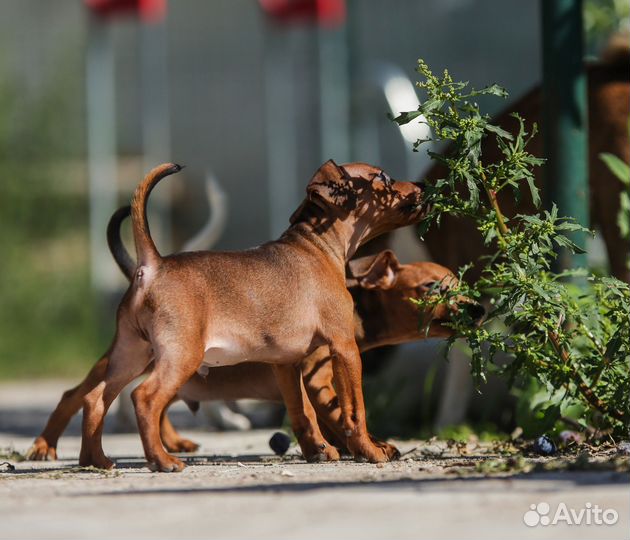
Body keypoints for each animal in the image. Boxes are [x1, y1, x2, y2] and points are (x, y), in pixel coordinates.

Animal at [78, 158, 424, 470]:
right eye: (383, 177)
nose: (421, 186)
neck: (318, 247)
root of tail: (153, 265)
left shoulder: (286, 363)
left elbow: (303, 411)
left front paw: (317, 450)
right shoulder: (345, 348)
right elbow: (354, 411)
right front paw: (371, 451)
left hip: (131, 355)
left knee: (94, 399)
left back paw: (94, 460)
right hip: (179, 356)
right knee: (145, 398)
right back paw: (162, 461)